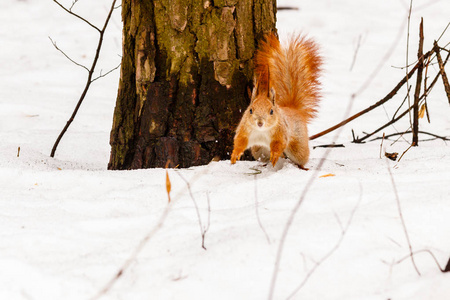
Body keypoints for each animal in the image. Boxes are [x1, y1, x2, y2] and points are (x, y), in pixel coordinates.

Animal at [230, 32, 322, 170]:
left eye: (271, 111)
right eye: (250, 110)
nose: (260, 123)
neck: (261, 131)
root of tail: (292, 108)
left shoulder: (281, 132)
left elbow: (279, 144)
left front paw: (275, 155)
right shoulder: (245, 129)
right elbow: (240, 141)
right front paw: (235, 153)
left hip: (298, 146)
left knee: (301, 157)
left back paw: (301, 166)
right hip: (258, 150)